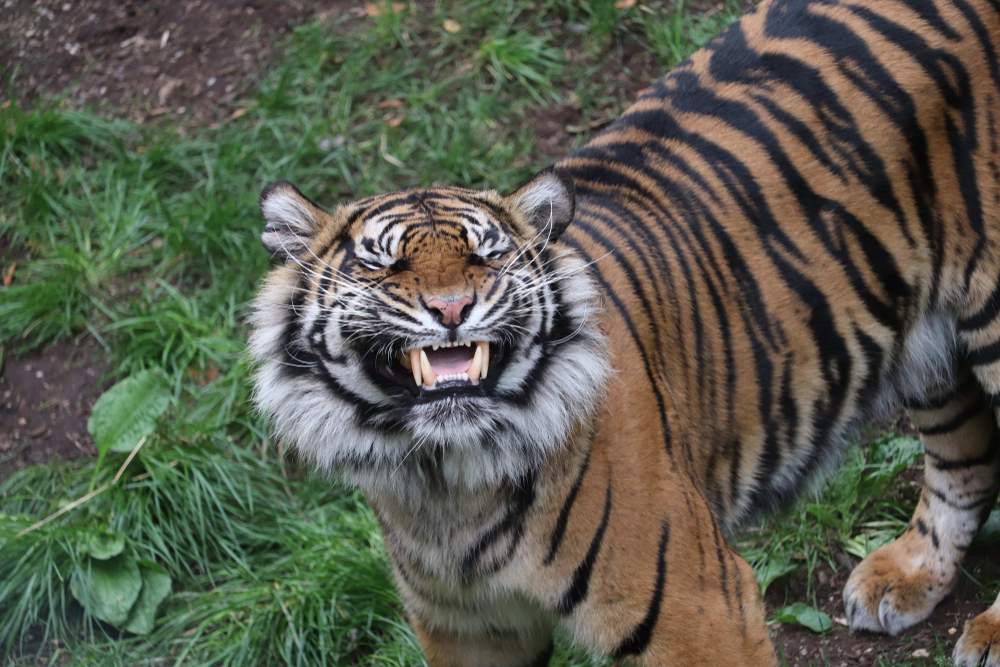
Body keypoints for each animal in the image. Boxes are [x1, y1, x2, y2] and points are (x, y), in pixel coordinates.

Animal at [246, 0, 1000, 664]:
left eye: (487, 255)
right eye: (383, 262)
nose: (453, 307)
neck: (446, 483)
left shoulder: (700, 607)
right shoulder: (469, 629)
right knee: (965, 453)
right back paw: (905, 576)